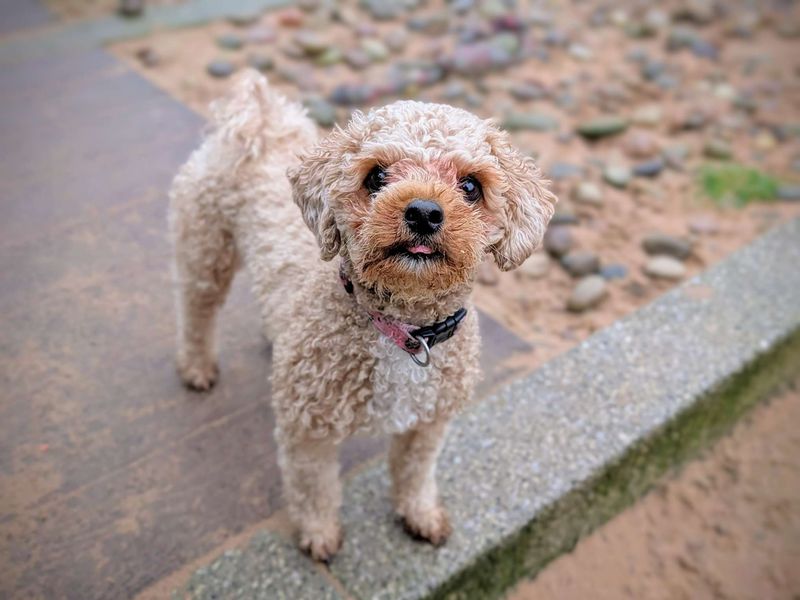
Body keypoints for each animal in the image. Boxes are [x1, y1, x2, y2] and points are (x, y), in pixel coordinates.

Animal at [167, 72, 556, 560]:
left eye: (471, 186)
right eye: (376, 176)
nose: (423, 211)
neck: (403, 330)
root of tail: (259, 120)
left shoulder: (428, 423)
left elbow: (415, 472)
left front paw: (421, 515)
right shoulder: (307, 428)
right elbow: (314, 486)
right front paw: (319, 534)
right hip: (206, 251)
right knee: (195, 311)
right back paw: (197, 367)